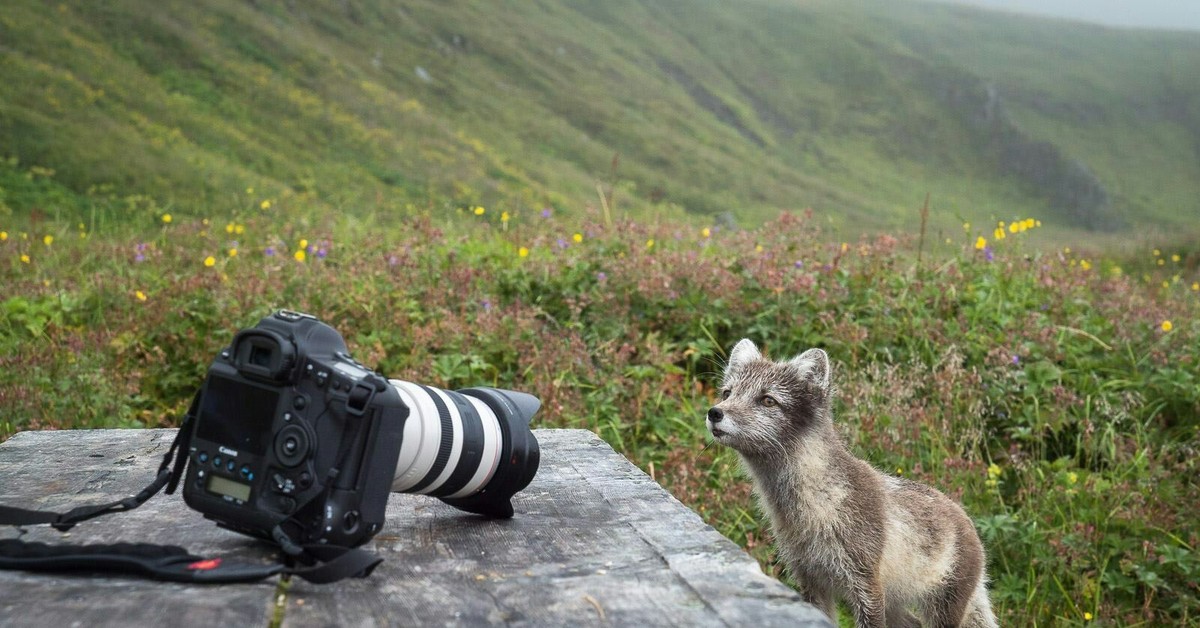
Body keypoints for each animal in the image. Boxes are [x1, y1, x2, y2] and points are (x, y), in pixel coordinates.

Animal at [705, 338, 998, 628]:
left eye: (768, 400)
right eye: (728, 393)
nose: (714, 413)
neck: (813, 509)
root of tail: (967, 520)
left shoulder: (866, 583)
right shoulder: (809, 579)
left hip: (942, 608)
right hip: (897, 605)